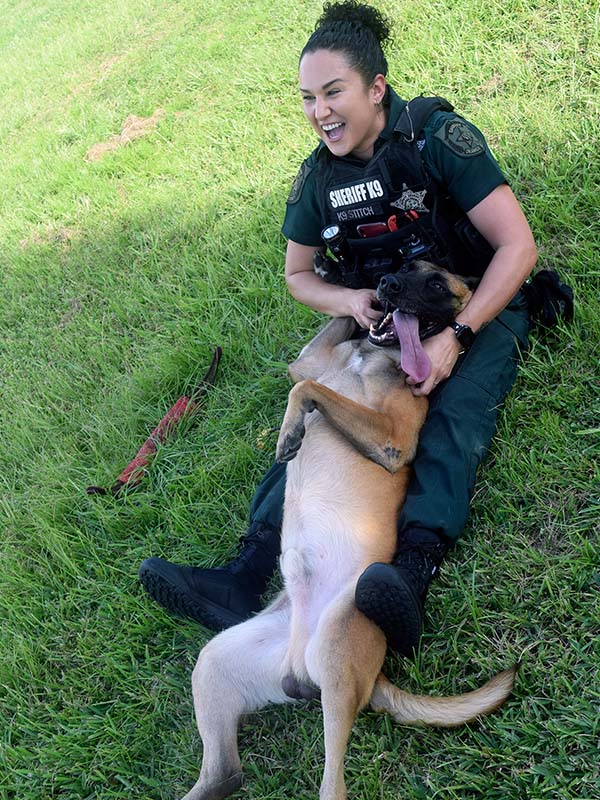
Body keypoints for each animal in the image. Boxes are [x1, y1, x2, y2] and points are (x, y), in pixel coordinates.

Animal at [179, 260, 516, 796]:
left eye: (436, 283)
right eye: (403, 265)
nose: (387, 287)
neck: (376, 352)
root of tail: (297, 660)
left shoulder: (392, 438)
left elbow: (307, 392)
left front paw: (290, 431)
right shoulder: (309, 361)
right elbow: (309, 372)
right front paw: (342, 286)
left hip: (337, 656)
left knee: (329, 783)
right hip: (215, 663)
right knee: (225, 774)